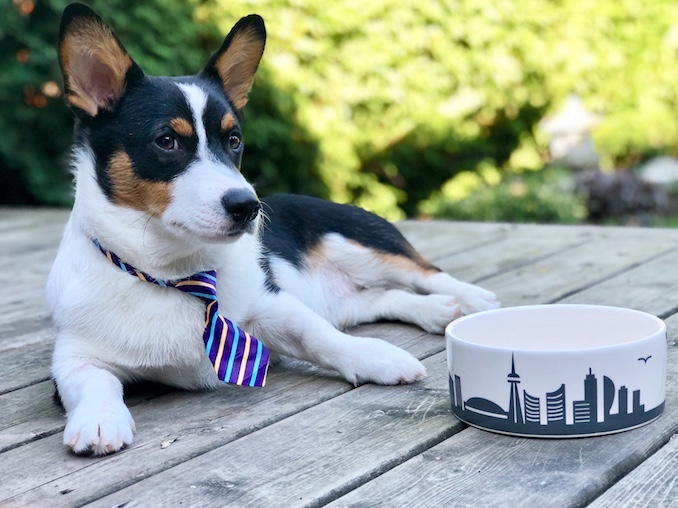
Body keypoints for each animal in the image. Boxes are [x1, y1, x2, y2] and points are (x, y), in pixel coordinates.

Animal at [45, 2, 496, 456]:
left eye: (234, 140)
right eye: (166, 141)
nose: (248, 207)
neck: (174, 271)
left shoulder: (273, 305)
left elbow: (320, 337)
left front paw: (377, 357)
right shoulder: (71, 357)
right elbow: (92, 380)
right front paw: (99, 420)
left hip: (359, 243)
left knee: (423, 273)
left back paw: (469, 298)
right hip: (348, 294)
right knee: (382, 298)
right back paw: (435, 310)